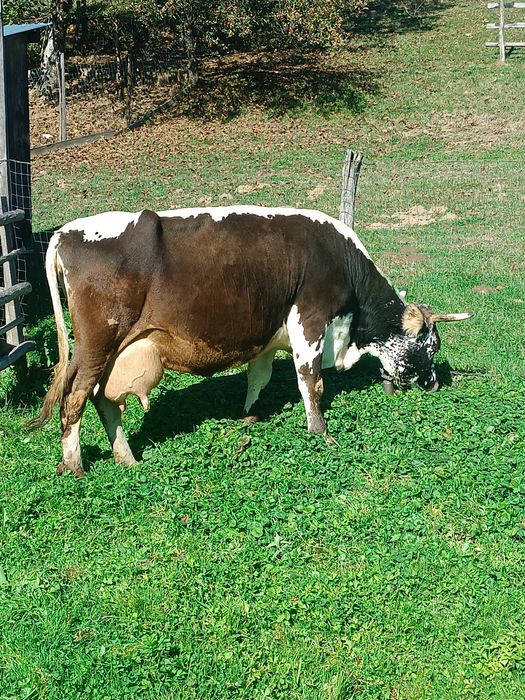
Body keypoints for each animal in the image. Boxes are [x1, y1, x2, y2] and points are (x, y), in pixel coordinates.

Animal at [29, 205, 472, 477]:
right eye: (432, 345)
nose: (435, 384)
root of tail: (66, 232)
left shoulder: (268, 337)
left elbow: (258, 378)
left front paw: (250, 416)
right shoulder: (310, 320)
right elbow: (311, 382)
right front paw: (320, 431)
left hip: (114, 350)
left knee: (103, 399)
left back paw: (126, 458)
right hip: (96, 344)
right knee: (75, 398)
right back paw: (75, 465)